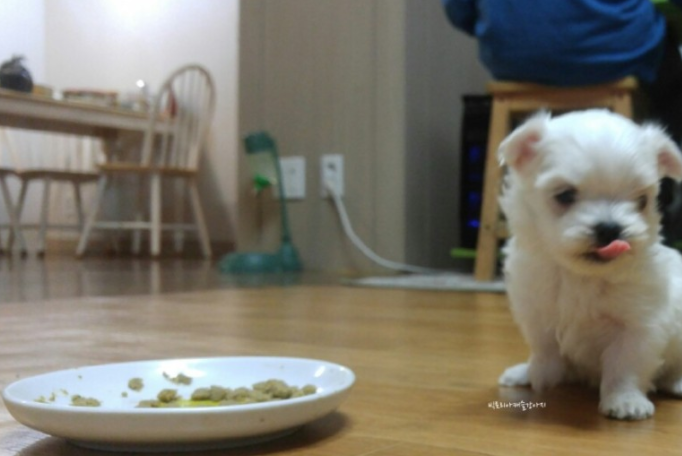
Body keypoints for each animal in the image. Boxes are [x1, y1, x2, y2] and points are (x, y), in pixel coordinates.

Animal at [497, 109, 682, 420]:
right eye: (565, 195)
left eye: (641, 200)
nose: (610, 229)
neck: (580, 275)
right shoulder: (536, 313)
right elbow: (544, 349)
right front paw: (540, 378)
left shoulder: (639, 324)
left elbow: (625, 364)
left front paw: (625, 400)